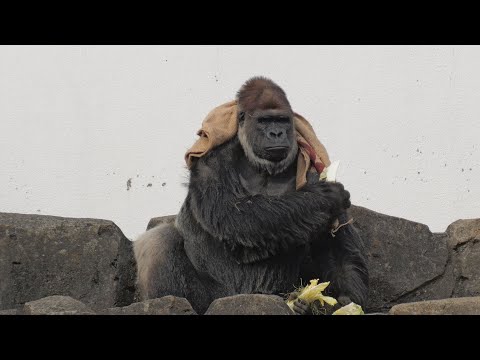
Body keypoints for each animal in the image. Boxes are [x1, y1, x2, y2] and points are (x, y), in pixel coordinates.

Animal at [133, 76, 370, 316]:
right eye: (264, 121)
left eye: (282, 120)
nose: (277, 133)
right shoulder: (211, 160)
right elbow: (232, 213)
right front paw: (325, 199)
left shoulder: (312, 170)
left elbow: (337, 251)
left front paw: (343, 300)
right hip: (215, 298)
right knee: (158, 239)